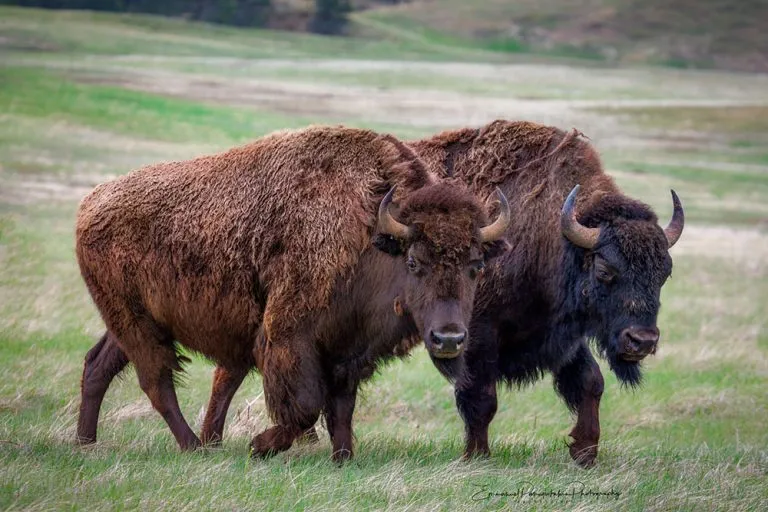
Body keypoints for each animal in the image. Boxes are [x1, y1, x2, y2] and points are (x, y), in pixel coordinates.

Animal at [75, 125, 511, 461]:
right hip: (135, 324)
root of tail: (91, 202)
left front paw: (343, 457)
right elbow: (304, 407)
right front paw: (259, 446)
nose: (449, 338)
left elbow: (341, 407)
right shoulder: (290, 334)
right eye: (415, 263)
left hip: (133, 322)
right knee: (156, 379)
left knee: (99, 365)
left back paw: (85, 442)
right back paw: (192, 447)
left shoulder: (348, 349)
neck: (370, 233)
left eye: (476, 266)